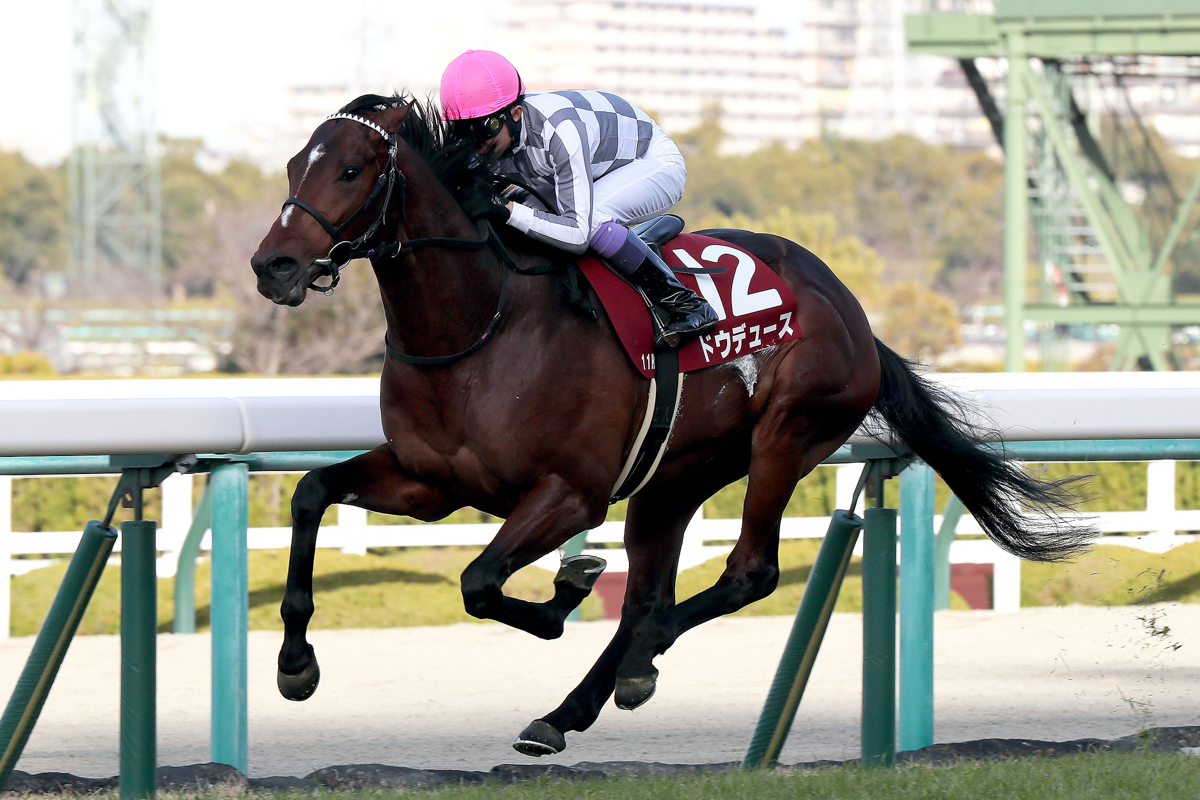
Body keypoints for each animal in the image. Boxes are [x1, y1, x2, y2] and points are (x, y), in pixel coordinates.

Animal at [250, 94, 1091, 757]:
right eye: (293, 166)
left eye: (351, 170)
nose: (274, 266)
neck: (481, 326)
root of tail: (852, 312)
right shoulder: (432, 482)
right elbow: (312, 493)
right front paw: (295, 666)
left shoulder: (571, 493)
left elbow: (482, 582)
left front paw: (563, 595)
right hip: (675, 477)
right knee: (648, 598)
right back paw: (573, 707)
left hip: (786, 436)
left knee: (745, 573)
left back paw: (632, 662)